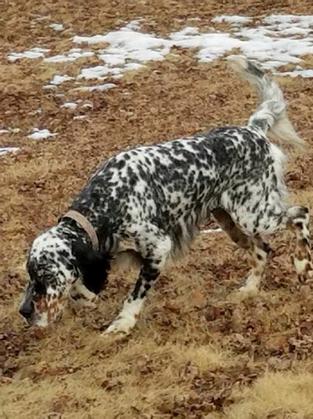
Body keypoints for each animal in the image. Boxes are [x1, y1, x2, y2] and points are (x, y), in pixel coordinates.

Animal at [18, 57, 310, 336]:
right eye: (31, 274)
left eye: (46, 275)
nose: (24, 311)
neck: (107, 200)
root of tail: (253, 131)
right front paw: (85, 297)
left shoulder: (158, 247)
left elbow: (134, 294)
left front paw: (122, 324)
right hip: (230, 220)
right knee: (262, 250)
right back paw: (249, 289)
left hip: (254, 215)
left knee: (299, 215)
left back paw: (302, 264)